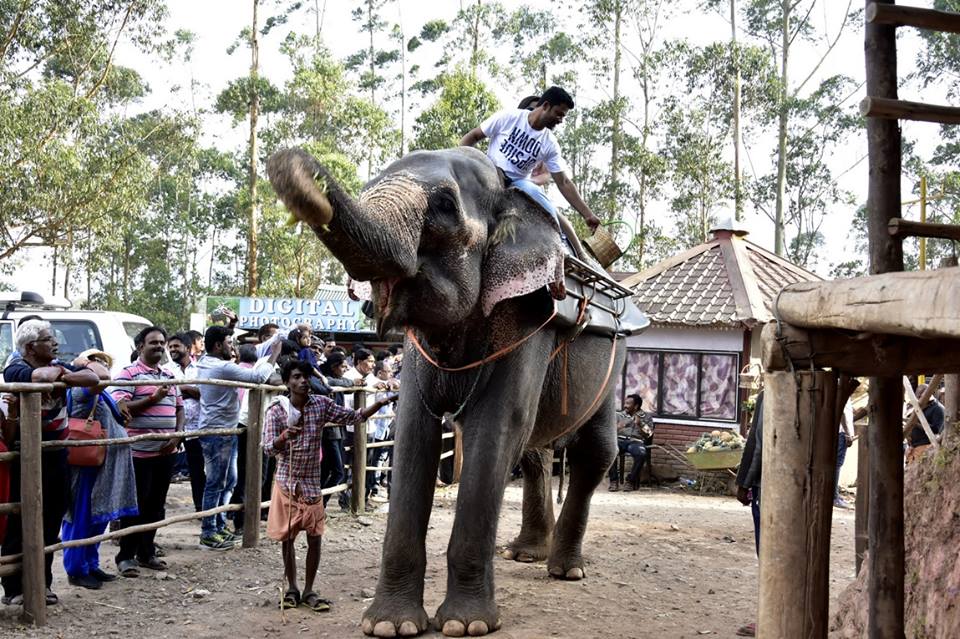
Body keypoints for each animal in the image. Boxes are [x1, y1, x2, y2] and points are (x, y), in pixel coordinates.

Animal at [267, 145, 634, 637]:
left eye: (443, 206)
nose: (292, 160)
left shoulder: (528, 312)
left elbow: (497, 426)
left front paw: (466, 625)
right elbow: (413, 430)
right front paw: (390, 626)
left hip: (616, 359)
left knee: (592, 450)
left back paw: (565, 570)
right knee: (534, 450)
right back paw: (524, 554)